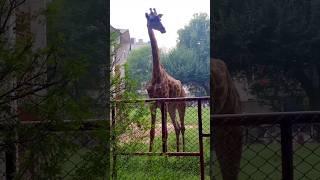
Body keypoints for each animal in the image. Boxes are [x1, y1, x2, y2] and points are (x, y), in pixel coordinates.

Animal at [144, 8, 186, 152]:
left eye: (160, 18)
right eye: (152, 19)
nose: (163, 29)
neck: (156, 75)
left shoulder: (164, 101)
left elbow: (165, 132)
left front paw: (165, 156)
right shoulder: (153, 103)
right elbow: (152, 132)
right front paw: (149, 156)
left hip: (180, 104)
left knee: (182, 127)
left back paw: (184, 152)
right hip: (171, 107)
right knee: (177, 127)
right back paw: (178, 153)